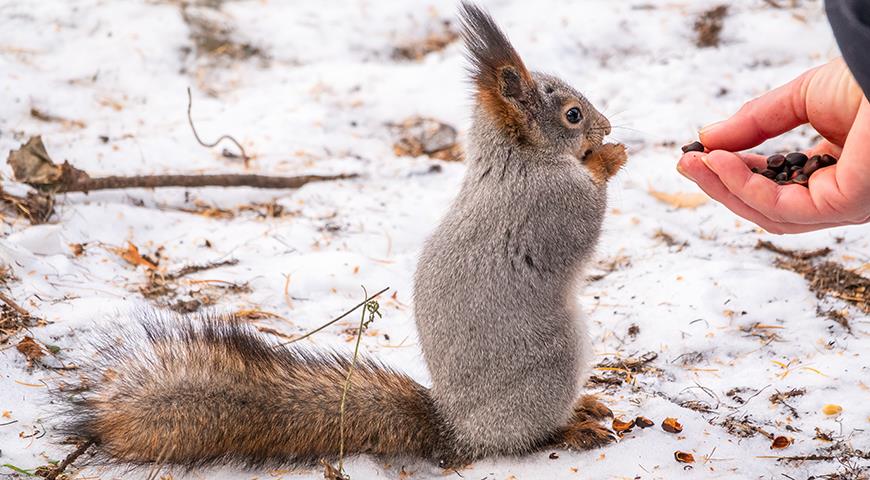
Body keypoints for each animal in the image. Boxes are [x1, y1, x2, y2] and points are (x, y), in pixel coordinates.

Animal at [52, 0, 628, 472]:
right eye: (572, 115)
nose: (605, 126)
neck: (517, 159)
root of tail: (459, 430)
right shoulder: (552, 205)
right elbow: (583, 223)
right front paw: (607, 159)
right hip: (553, 366)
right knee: (528, 438)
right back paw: (571, 427)